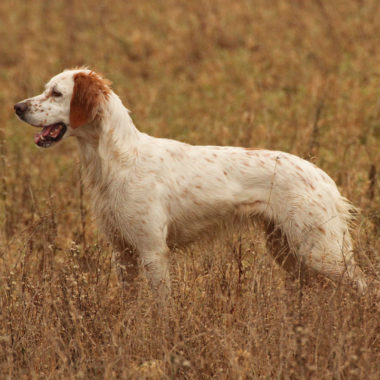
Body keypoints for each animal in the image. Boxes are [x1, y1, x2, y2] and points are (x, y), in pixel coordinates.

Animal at [14, 68, 368, 296]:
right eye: (47, 89)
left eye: (56, 93)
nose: (17, 107)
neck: (117, 161)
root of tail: (323, 177)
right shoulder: (123, 252)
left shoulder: (153, 251)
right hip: (288, 250)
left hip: (322, 253)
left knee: (365, 286)